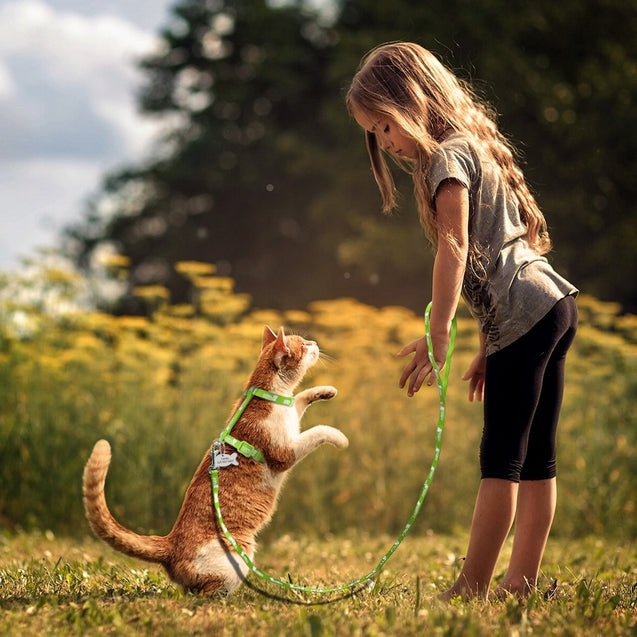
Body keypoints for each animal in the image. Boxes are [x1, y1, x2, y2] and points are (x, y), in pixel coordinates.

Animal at [84, 326, 348, 592]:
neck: (271, 396)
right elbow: (318, 431)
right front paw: (340, 437)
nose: (313, 342)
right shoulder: (285, 453)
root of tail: (171, 543)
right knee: (204, 594)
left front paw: (326, 391)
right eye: (303, 345)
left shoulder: (293, 417)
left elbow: (301, 398)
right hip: (238, 557)